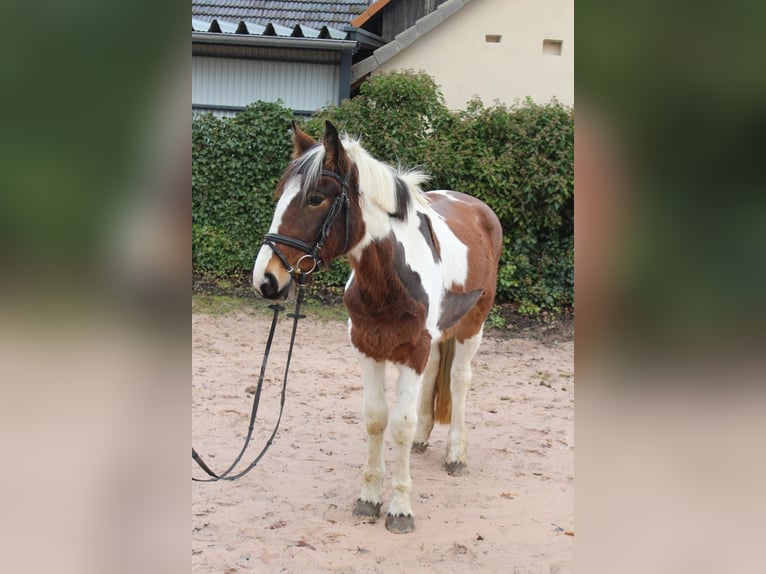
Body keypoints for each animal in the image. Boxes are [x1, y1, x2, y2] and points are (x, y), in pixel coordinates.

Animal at [252, 121, 504, 536]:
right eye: (279, 196)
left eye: (315, 198)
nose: (266, 280)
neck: (391, 278)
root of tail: (476, 205)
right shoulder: (367, 347)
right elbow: (376, 418)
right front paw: (369, 498)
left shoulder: (413, 352)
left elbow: (400, 423)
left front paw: (400, 509)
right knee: (435, 378)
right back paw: (424, 440)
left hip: (473, 326)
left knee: (458, 380)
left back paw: (455, 454)